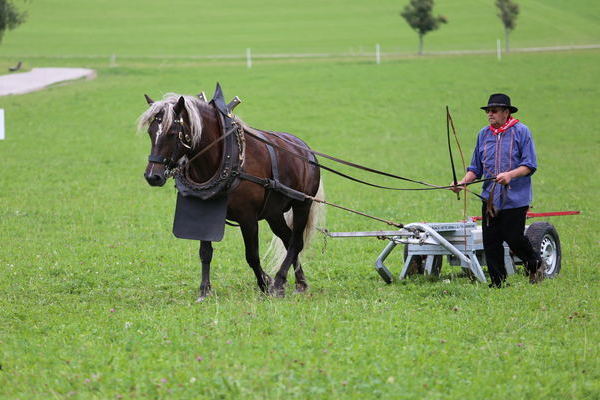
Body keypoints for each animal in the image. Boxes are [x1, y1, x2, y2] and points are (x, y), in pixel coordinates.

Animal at [137, 88, 324, 300]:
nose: (152, 176)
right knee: (287, 238)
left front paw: (265, 284)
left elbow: (252, 255)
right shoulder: (205, 210)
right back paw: (300, 282)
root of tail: (305, 149)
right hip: (273, 213)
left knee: (296, 242)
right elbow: (205, 252)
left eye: (172, 133)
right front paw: (204, 290)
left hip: (302, 205)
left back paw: (279, 281)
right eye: (151, 132)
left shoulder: (248, 218)